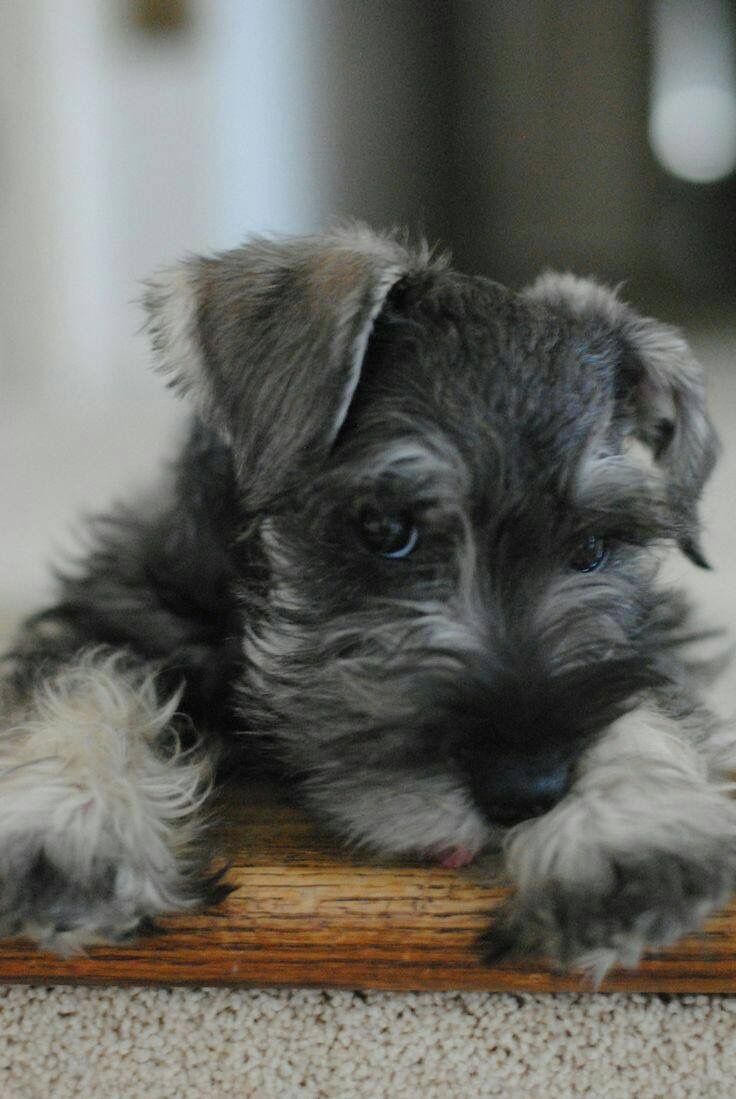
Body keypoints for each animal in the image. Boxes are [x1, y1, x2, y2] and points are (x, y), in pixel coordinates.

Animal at [1, 225, 736, 980]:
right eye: (385, 528)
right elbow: (88, 678)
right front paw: (67, 824)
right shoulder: (118, 606)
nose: (528, 786)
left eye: (591, 548)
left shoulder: (652, 636)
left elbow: (647, 692)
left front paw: (630, 827)